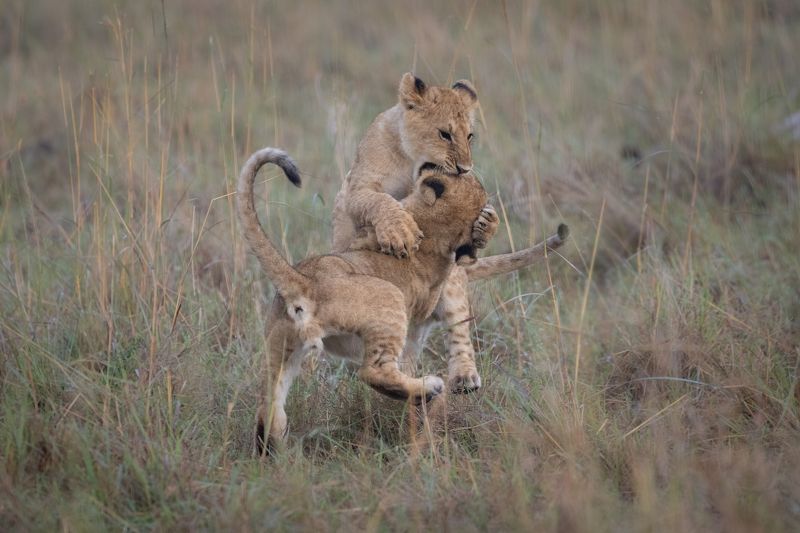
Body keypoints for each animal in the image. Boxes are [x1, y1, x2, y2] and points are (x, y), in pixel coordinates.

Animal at [238, 147, 493, 454]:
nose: (457, 168)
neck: (435, 229)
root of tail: (305, 283)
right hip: (363, 309)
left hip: (294, 341)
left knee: (278, 404)